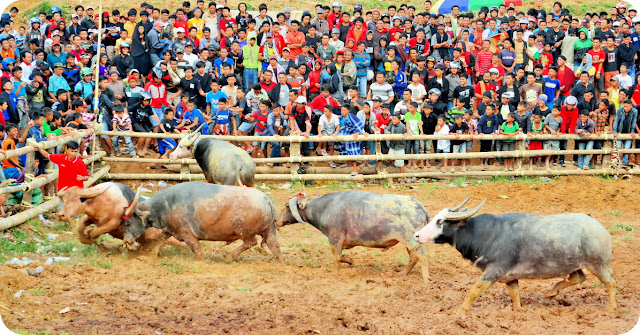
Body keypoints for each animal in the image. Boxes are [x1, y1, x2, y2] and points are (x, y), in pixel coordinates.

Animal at [121, 181, 282, 262]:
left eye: (127, 223)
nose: (126, 241)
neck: (166, 205)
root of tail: (266, 200)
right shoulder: (170, 229)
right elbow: (159, 240)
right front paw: (149, 254)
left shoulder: (186, 233)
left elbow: (196, 247)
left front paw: (199, 260)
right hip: (269, 230)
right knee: (273, 244)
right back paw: (279, 261)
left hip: (245, 232)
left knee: (251, 242)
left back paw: (230, 256)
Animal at [280, 192, 430, 284]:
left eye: (287, 206)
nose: (277, 220)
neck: (323, 209)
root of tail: (419, 206)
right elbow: (341, 256)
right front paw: (350, 261)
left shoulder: (335, 239)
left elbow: (337, 258)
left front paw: (337, 272)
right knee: (414, 257)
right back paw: (403, 273)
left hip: (410, 239)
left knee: (421, 256)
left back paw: (426, 279)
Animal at [412, 197, 616, 316]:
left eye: (440, 221)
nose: (417, 235)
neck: (486, 234)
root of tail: (601, 229)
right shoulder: (510, 276)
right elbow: (514, 293)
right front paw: (519, 311)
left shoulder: (495, 270)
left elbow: (474, 290)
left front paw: (460, 312)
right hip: (576, 265)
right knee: (578, 277)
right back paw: (552, 291)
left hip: (599, 264)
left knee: (610, 282)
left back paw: (612, 308)